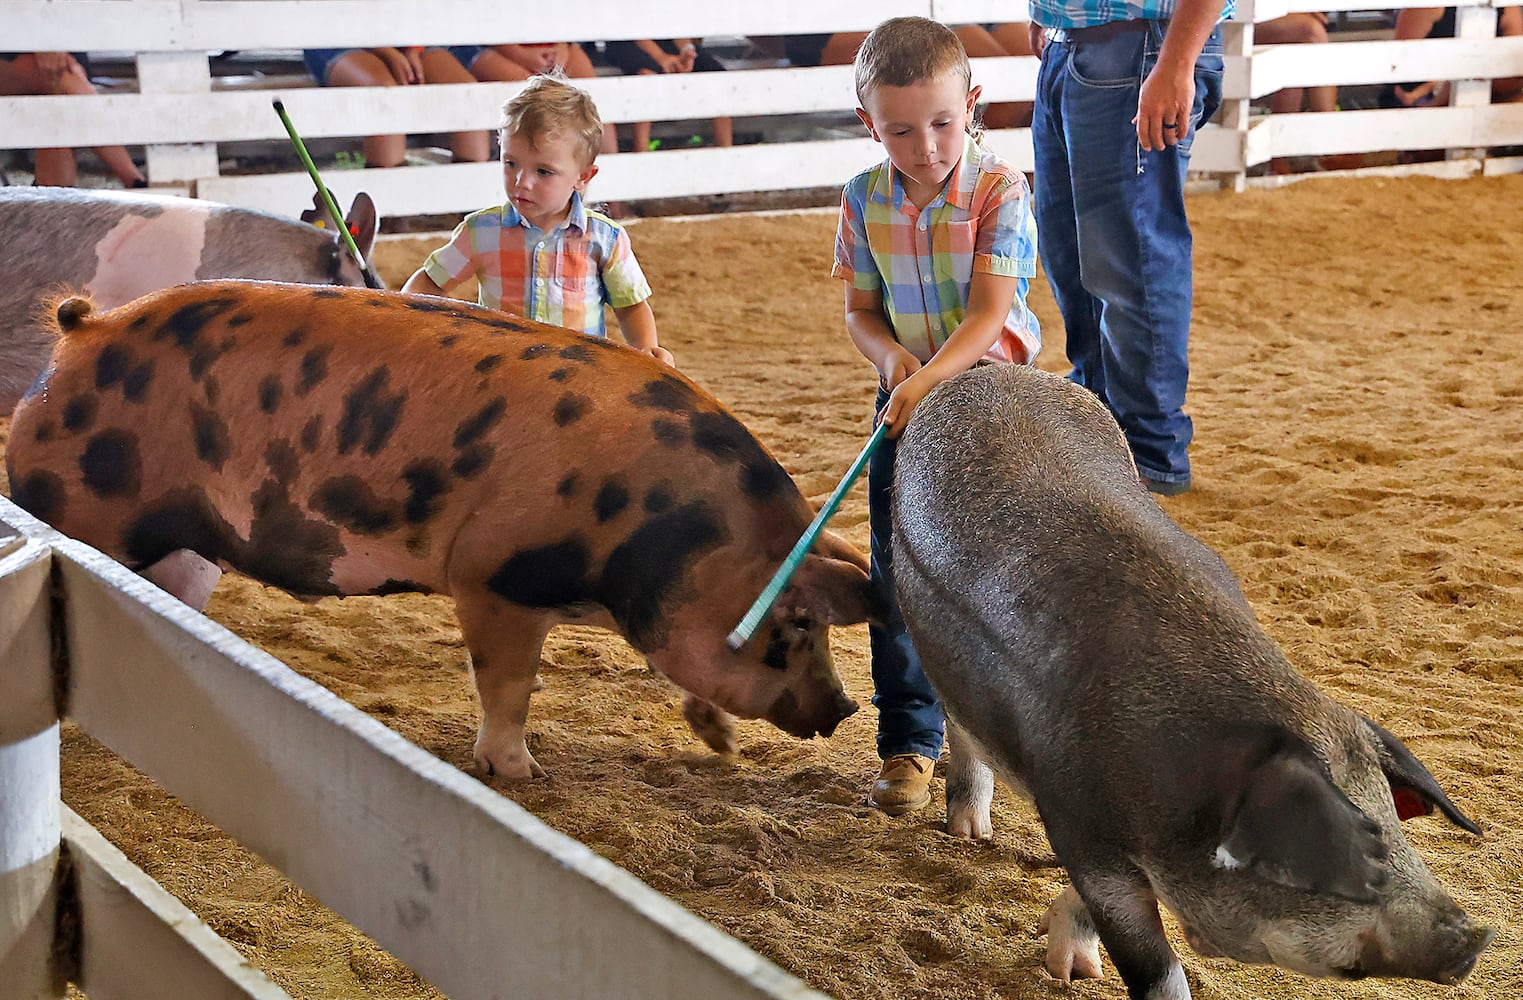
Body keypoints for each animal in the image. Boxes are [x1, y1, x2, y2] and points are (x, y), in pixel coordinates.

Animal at [8, 280, 871, 779]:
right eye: (796, 623)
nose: (844, 708)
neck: (662, 523)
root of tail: (83, 330)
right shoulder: (494, 576)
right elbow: (506, 686)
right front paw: (520, 775)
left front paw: (718, 744)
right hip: (82, 513)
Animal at [889, 365, 1492, 998]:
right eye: (1336, 845)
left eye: (1392, 827)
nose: (1474, 936)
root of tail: (989, 372)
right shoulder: (1081, 828)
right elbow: (1153, 966)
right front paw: (1078, 974)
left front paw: (1072, 966)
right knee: (959, 726)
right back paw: (969, 834)